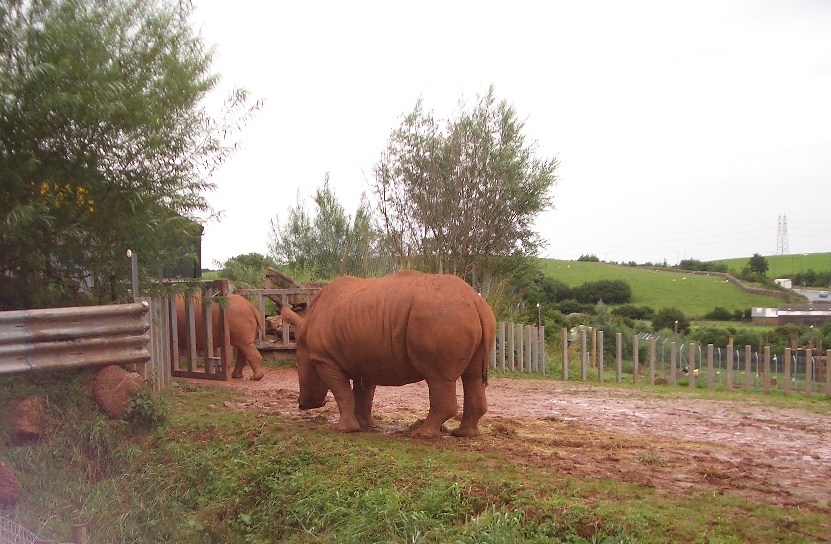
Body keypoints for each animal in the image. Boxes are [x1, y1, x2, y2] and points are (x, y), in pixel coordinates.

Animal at [281, 270, 496, 438]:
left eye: (298, 366)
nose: (303, 404)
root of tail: (476, 301)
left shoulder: (324, 360)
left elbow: (342, 393)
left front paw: (345, 430)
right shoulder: (366, 360)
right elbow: (364, 394)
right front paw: (366, 425)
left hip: (442, 317)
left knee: (439, 378)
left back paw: (421, 435)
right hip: (465, 315)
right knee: (473, 377)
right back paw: (463, 434)